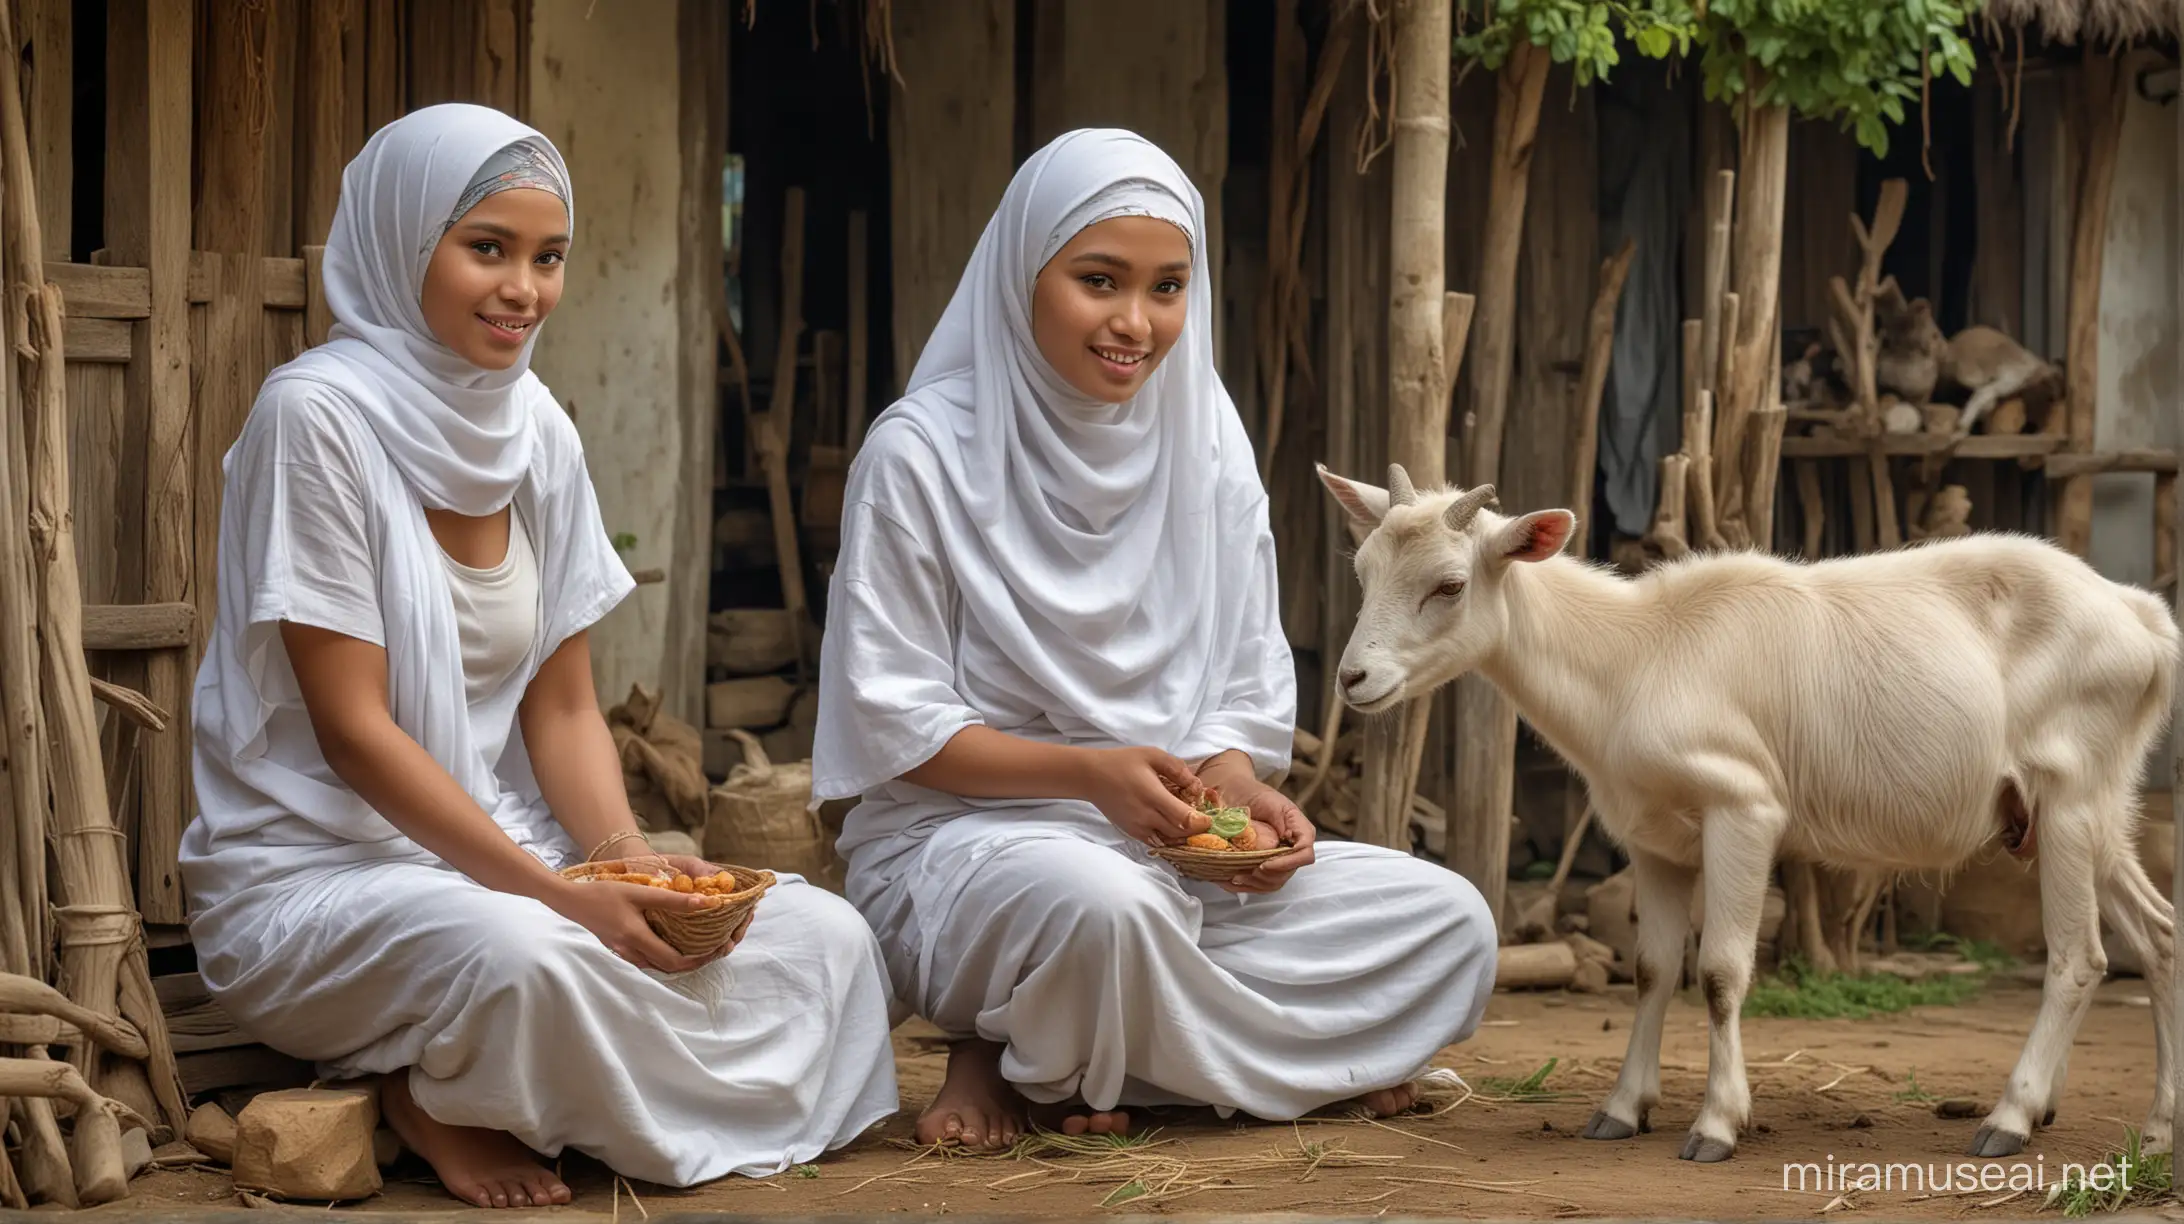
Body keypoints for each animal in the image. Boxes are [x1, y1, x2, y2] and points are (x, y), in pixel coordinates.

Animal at [1319, 461, 2175, 1162]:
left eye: (1449, 584)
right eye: (1362, 568)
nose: (1353, 679)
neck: (1631, 658)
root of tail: (2141, 617)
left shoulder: (1743, 808)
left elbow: (1721, 972)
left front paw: (1716, 1126)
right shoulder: (1651, 837)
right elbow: (1653, 969)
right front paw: (1622, 1110)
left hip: (2069, 796)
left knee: (2080, 957)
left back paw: (2011, 1117)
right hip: (2093, 810)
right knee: (2160, 934)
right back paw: (2157, 1126)